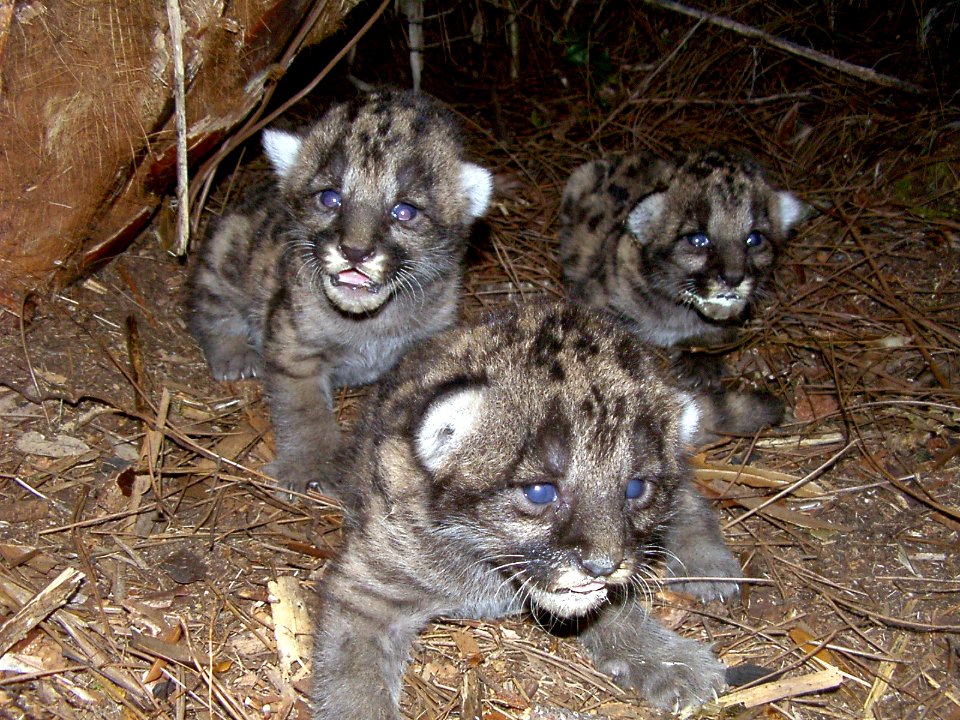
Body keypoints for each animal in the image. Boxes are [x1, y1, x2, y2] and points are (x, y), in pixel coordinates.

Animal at [185, 88, 492, 496]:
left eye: (404, 211)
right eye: (330, 198)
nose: (355, 251)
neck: (371, 324)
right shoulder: (294, 345)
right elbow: (304, 409)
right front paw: (312, 465)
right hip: (227, 251)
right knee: (209, 306)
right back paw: (233, 355)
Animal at [312, 300, 748, 716]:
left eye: (635, 488)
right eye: (540, 492)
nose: (603, 566)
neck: (486, 566)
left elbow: (610, 607)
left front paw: (669, 660)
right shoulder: (368, 586)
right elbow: (357, 674)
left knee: (687, 494)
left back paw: (709, 565)